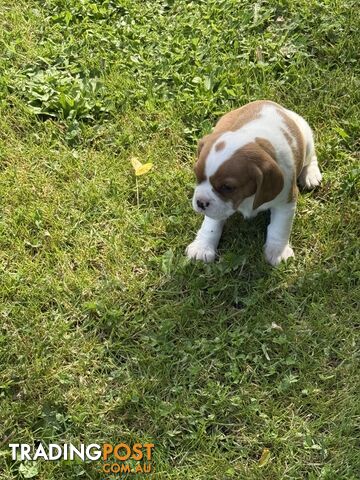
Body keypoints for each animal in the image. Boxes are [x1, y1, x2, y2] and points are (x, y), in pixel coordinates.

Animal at [186, 100, 320, 266]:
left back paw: (311, 174)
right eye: (196, 175)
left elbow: (279, 227)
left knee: (311, 156)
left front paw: (277, 252)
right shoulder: (216, 208)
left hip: (306, 138)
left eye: (228, 187)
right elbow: (211, 225)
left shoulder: (286, 202)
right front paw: (202, 247)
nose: (200, 202)